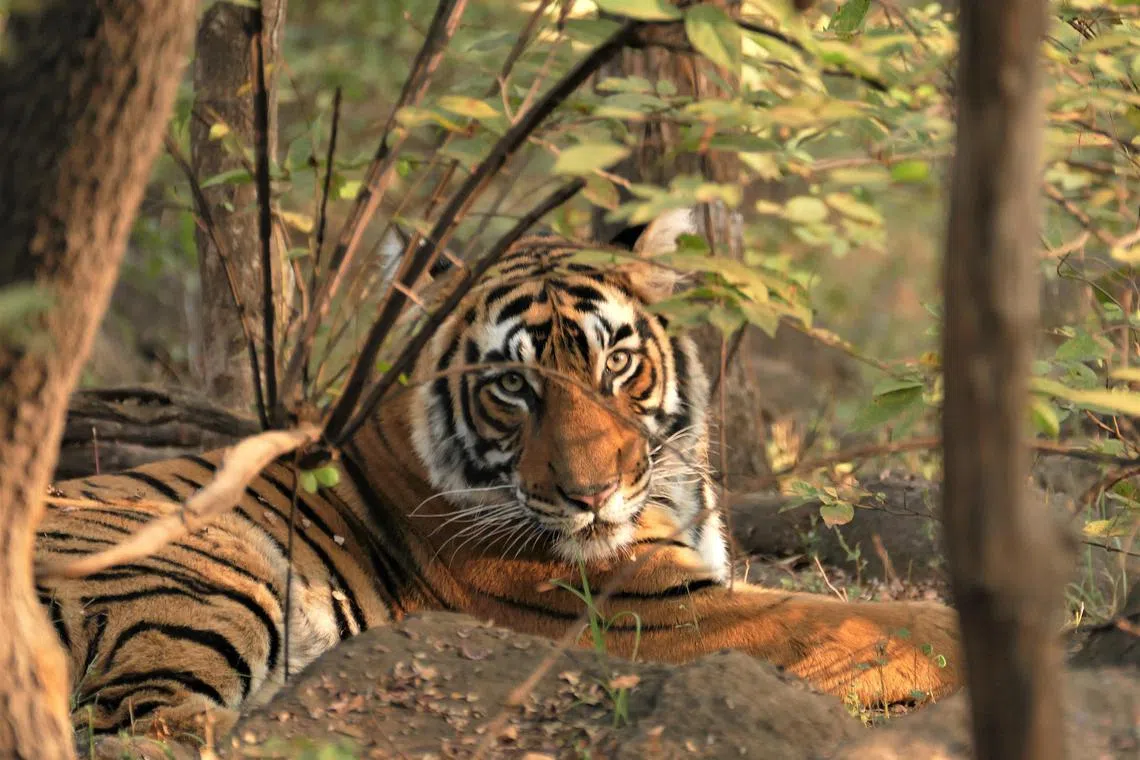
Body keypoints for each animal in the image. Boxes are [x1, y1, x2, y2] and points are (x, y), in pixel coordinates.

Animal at [35, 208, 962, 754]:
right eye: (513, 386)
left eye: (615, 363)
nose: (591, 494)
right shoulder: (653, 609)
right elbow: (881, 626)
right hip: (203, 569)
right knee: (137, 728)